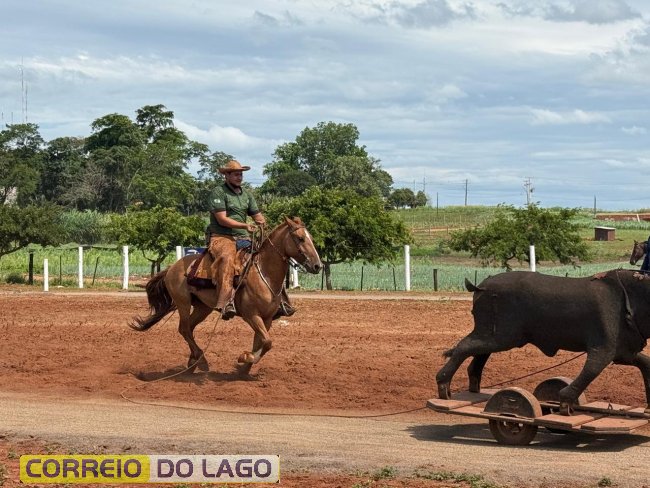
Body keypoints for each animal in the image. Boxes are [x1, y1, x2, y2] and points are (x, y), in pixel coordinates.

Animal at [130, 216, 322, 375]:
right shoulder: (252, 315)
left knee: (189, 328)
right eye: (300, 238)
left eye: (311, 238)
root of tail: (172, 267)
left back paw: (194, 362)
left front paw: (244, 368)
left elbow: (262, 343)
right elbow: (267, 342)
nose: (317, 265)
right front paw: (245, 358)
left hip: (203, 307)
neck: (264, 273)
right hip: (183, 302)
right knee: (184, 329)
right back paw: (201, 361)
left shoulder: (266, 319)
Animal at [436, 269, 650, 415]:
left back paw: (474, 388)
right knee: (463, 347)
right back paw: (443, 385)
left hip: (493, 334)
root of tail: (481, 287)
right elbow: (591, 370)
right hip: (502, 336)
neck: (631, 297)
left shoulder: (624, 352)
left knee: (475, 356)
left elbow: (645, 364)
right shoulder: (603, 348)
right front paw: (565, 402)